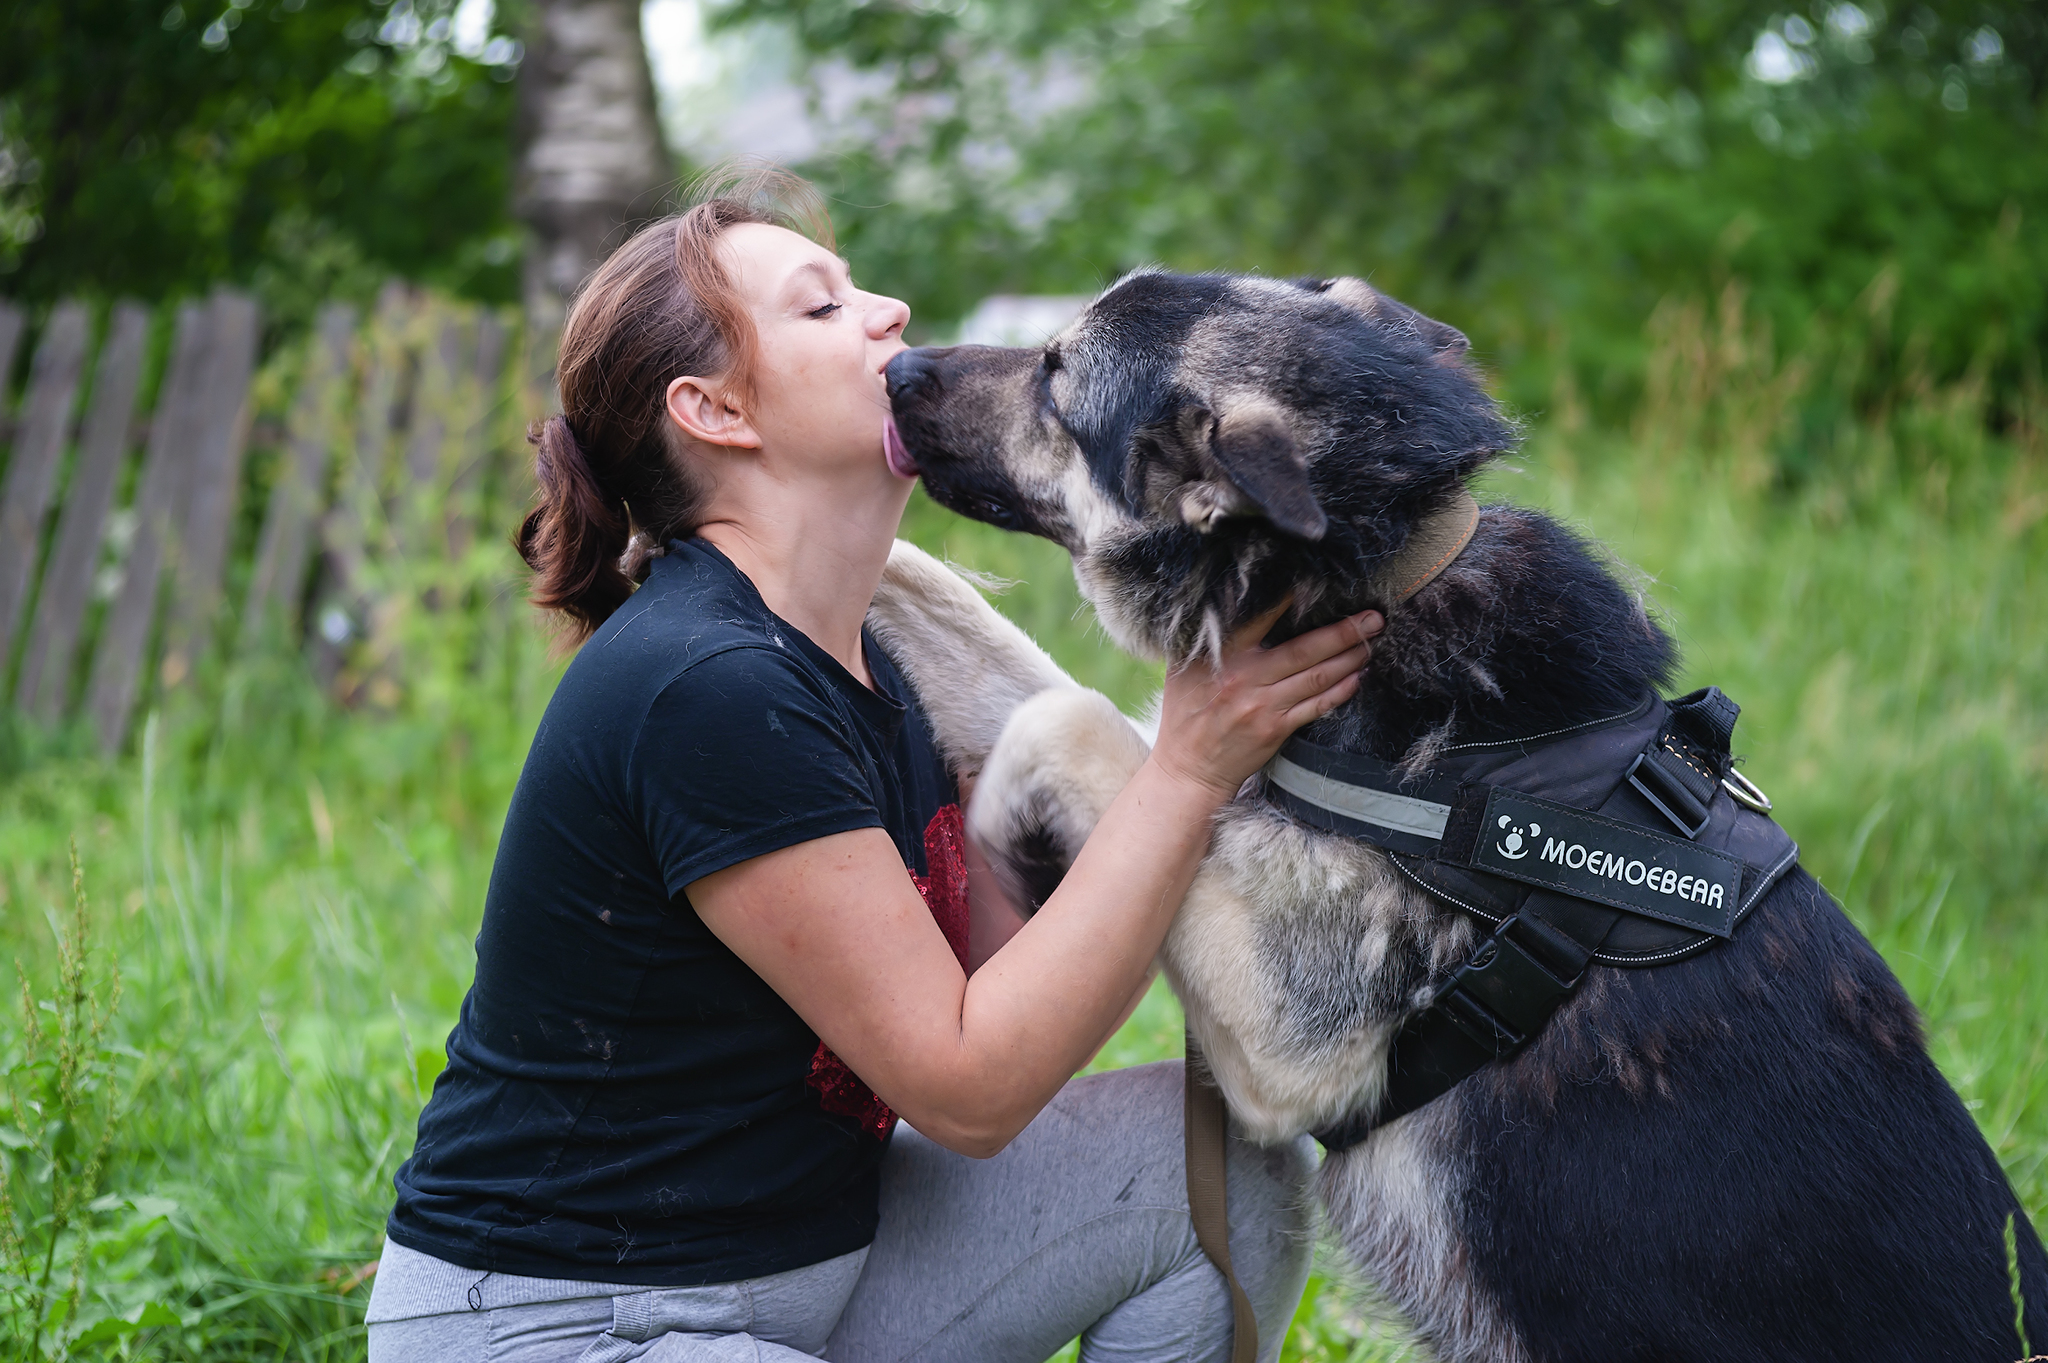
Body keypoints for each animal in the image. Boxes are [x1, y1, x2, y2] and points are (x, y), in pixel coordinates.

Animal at [864, 266, 2048, 1358]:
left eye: (1053, 375)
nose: (896, 366)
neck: (1383, 580)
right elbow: (981, 635)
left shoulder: (1287, 1044)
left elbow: (1063, 717)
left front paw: (1006, 822)